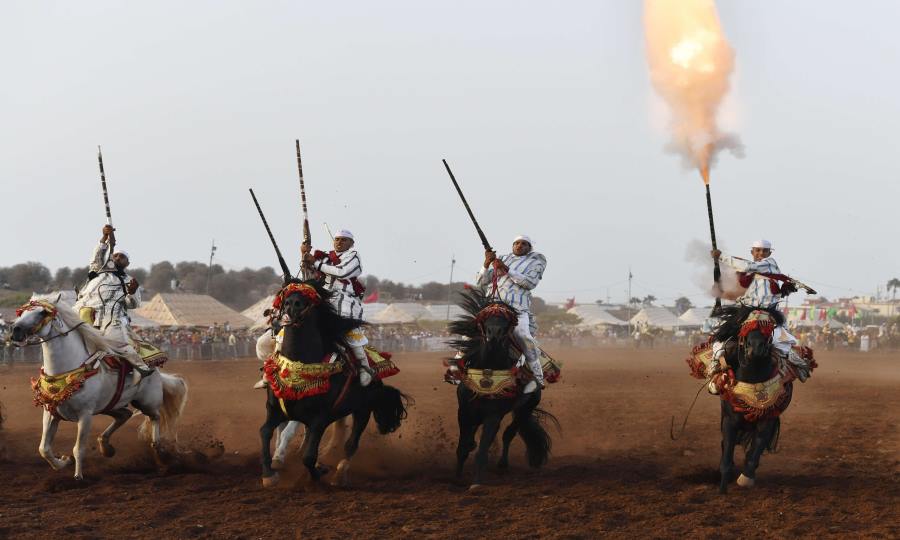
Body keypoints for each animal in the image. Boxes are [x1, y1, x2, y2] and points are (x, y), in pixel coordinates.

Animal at [10, 294, 188, 478]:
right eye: (21, 312)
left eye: (43, 312)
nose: (15, 329)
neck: (67, 369)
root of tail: (154, 369)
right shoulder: (51, 413)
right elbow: (44, 449)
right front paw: (63, 462)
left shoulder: (85, 415)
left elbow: (78, 449)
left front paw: (78, 476)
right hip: (109, 405)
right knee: (124, 415)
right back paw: (106, 446)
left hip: (147, 402)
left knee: (155, 417)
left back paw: (159, 451)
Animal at [258, 280, 410, 488]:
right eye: (286, 296)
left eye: (309, 298)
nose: (292, 304)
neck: (298, 367)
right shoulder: (275, 411)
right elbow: (265, 432)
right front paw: (269, 473)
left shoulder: (319, 419)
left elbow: (308, 456)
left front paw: (318, 473)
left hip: (362, 411)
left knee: (351, 444)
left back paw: (339, 474)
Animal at [448, 292, 556, 490]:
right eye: (486, 318)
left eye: (506, 321)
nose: (494, 335)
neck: (488, 367)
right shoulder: (465, 411)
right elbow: (463, 448)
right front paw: (457, 477)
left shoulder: (493, 414)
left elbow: (482, 450)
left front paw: (476, 483)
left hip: (524, 409)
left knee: (508, 434)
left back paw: (502, 464)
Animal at [712, 304, 796, 494]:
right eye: (746, 326)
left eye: (768, 327)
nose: (756, 348)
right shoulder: (729, 421)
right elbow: (726, 455)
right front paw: (722, 488)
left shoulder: (767, 421)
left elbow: (754, 452)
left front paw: (745, 478)